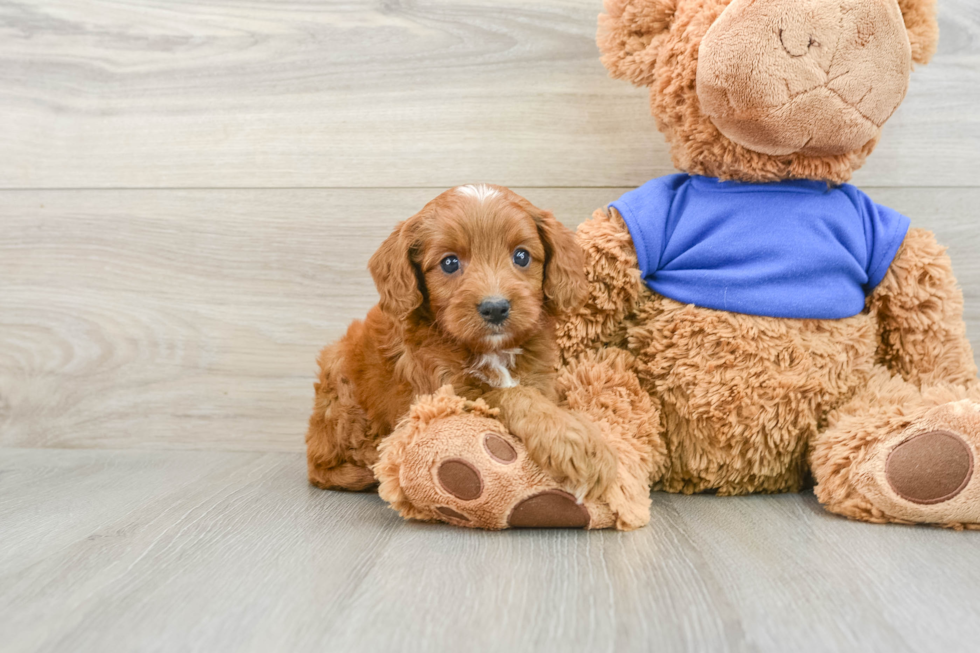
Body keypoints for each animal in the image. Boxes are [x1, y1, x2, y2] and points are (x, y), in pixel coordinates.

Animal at [306, 183, 616, 500]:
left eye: (521, 256)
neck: (491, 350)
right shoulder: (444, 393)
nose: (495, 308)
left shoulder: (538, 377)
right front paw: (574, 441)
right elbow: (510, 395)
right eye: (450, 262)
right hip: (341, 388)